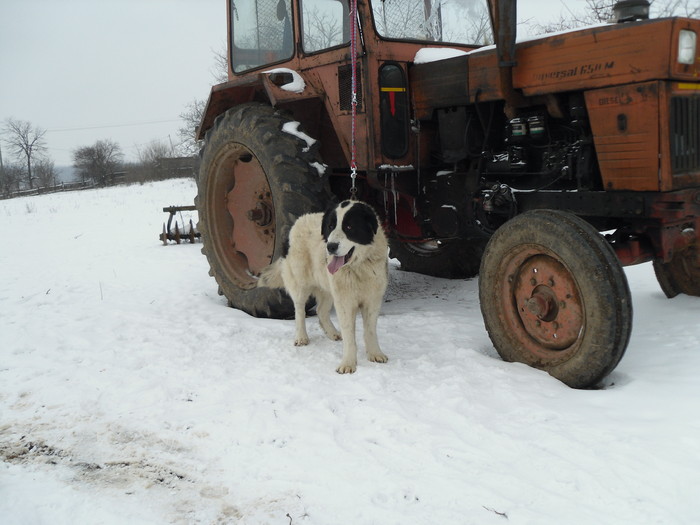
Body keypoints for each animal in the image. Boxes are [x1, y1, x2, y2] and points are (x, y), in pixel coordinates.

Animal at [258, 200, 388, 372]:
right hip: (300, 284)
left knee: (321, 310)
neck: (359, 266)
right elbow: (349, 335)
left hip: (327, 287)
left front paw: (375, 354)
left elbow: (370, 331)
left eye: (349, 227)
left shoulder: (372, 300)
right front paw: (348, 363)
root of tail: (299, 220)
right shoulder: (345, 302)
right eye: (330, 227)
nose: (331, 246)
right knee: (299, 310)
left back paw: (332, 333)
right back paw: (301, 337)